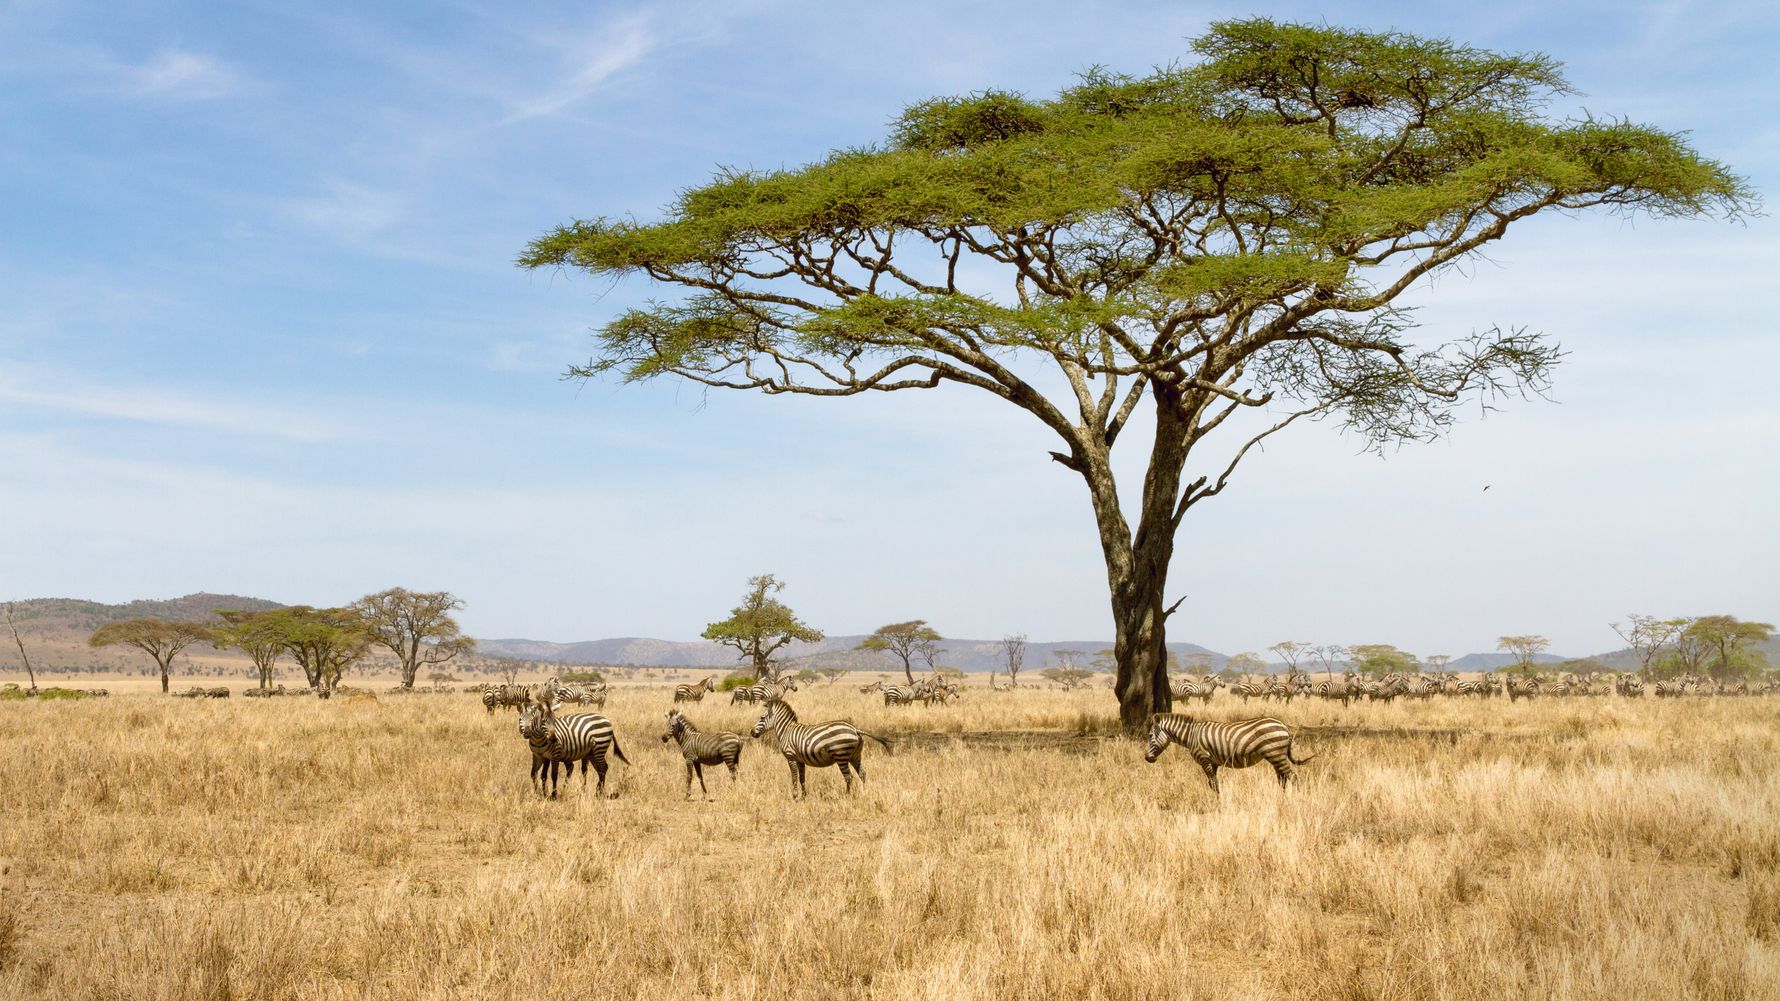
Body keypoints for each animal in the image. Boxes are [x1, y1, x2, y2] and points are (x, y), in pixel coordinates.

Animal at [750, 699, 892, 799]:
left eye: (762, 718)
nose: (751, 732)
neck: (786, 731)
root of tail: (855, 729)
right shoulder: (800, 759)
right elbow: (802, 778)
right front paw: (804, 797)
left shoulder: (791, 757)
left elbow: (794, 777)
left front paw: (795, 797)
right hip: (855, 756)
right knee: (862, 774)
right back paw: (863, 793)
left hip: (841, 756)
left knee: (848, 777)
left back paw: (847, 796)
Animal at [1143, 713, 1315, 795]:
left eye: (1150, 736)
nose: (1147, 758)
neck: (1191, 735)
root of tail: (1284, 726)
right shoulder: (1213, 762)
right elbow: (1214, 783)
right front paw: (1218, 800)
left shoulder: (1204, 759)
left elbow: (1213, 783)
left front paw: (1218, 803)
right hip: (1276, 756)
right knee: (1283, 779)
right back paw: (1282, 798)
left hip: (1276, 754)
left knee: (1293, 777)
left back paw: (1296, 799)